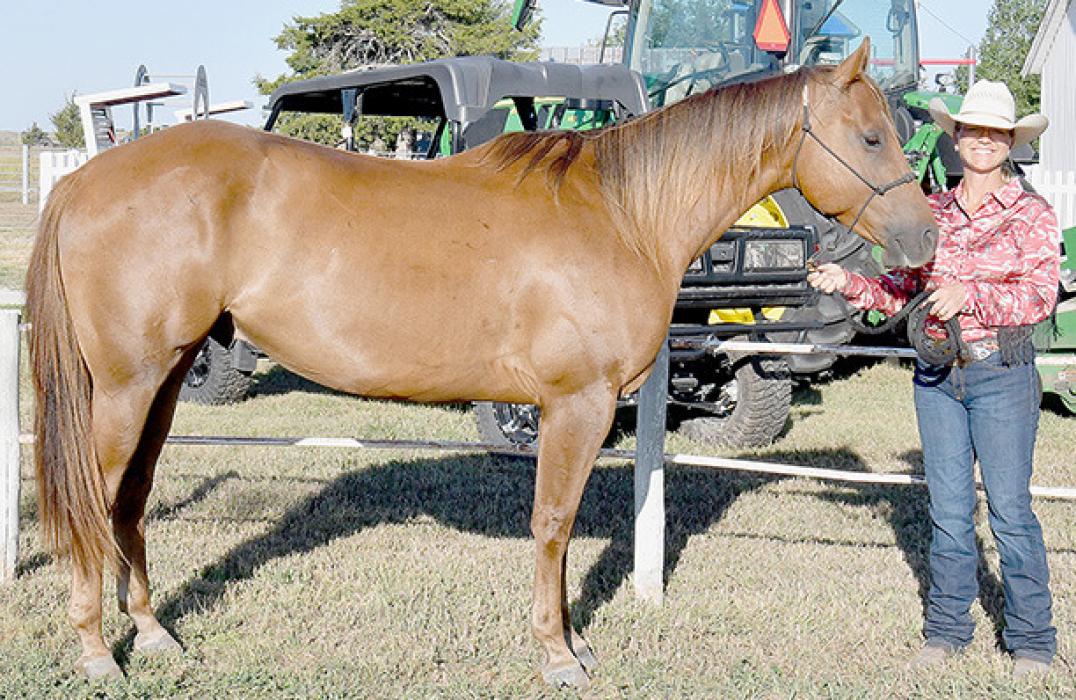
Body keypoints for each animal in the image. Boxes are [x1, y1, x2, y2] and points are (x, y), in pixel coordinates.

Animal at [26, 39, 936, 689]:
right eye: (868, 136)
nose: (926, 239)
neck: (623, 214)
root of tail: (84, 179)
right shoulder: (576, 405)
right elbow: (553, 523)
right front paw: (559, 655)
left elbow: (560, 527)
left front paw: (572, 644)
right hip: (129, 385)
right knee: (93, 500)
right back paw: (98, 651)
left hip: (163, 382)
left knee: (130, 501)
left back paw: (152, 633)